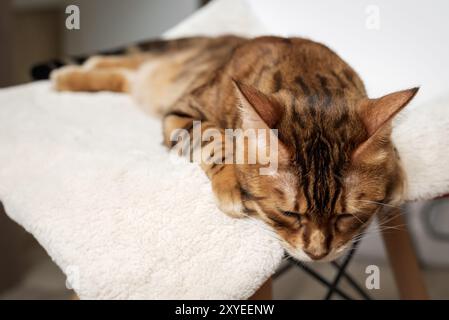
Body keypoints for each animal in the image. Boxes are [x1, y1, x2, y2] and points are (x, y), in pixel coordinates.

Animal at [50, 35, 418, 260]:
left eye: (347, 216)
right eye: (288, 214)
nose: (317, 254)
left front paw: (396, 170)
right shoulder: (183, 112)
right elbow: (215, 140)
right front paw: (230, 182)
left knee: (127, 73)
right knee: (128, 65)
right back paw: (70, 75)